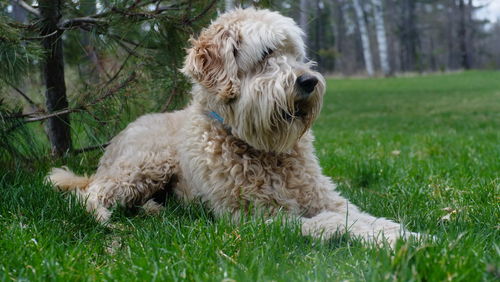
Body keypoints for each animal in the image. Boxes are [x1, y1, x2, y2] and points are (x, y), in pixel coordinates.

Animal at [47, 7, 422, 246]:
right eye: (267, 53)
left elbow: (359, 215)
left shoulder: (323, 196)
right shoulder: (256, 217)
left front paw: (406, 235)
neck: (265, 151)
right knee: (89, 193)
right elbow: (329, 223)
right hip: (145, 164)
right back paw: (103, 216)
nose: (309, 81)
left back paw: (155, 208)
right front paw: (379, 239)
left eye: (294, 52)